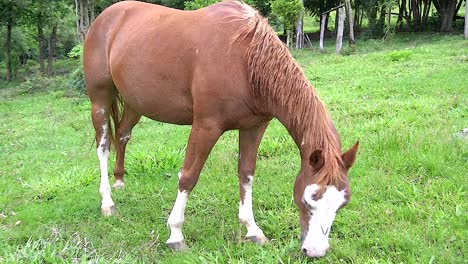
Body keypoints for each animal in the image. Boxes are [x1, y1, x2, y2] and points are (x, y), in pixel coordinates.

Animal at [84, 0, 358, 258]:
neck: (245, 59)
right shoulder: (206, 126)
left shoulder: (255, 127)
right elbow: (188, 176)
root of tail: (106, 17)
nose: (315, 251)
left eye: (342, 203)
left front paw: (252, 230)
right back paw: (107, 201)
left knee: (123, 135)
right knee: (103, 146)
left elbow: (246, 174)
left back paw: (120, 181)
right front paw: (175, 234)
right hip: (100, 99)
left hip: (135, 103)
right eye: (307, 199)